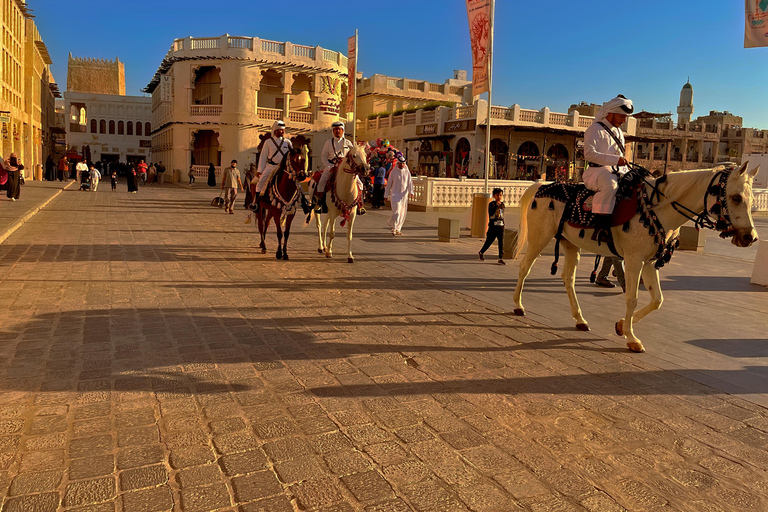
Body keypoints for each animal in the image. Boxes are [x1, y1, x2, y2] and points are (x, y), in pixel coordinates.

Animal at [512, 164, 760, 352]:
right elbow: (632, 298)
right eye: (735, 197)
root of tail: (541, 186)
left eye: (751, 201)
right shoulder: (633, 261)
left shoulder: (649, 263)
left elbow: (657, 299)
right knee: (524, 267)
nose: (751, 237)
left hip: (571, 245)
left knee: (568, 279)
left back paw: (580, 319)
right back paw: (518, 306)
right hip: (539, 237)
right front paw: (631, 338)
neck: (657, 209)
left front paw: (622, 326)